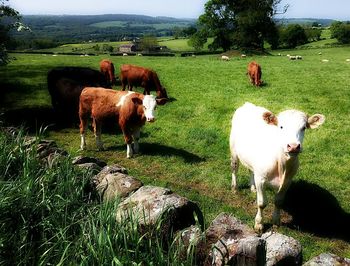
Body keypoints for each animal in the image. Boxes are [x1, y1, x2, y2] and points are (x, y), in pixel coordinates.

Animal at [230, 103, 326, 232]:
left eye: (304, 128)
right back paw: (234, 188)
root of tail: (248, 104)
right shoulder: (260, 179)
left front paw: (276, 221)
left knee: (251, 170)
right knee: (234, 169)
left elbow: (279, 202)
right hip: (234, 151)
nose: (293, 146)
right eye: (281, 127)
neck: (281, 166)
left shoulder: (287, 181)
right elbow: (262, 203)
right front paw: (259, 224)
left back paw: (252, 188)